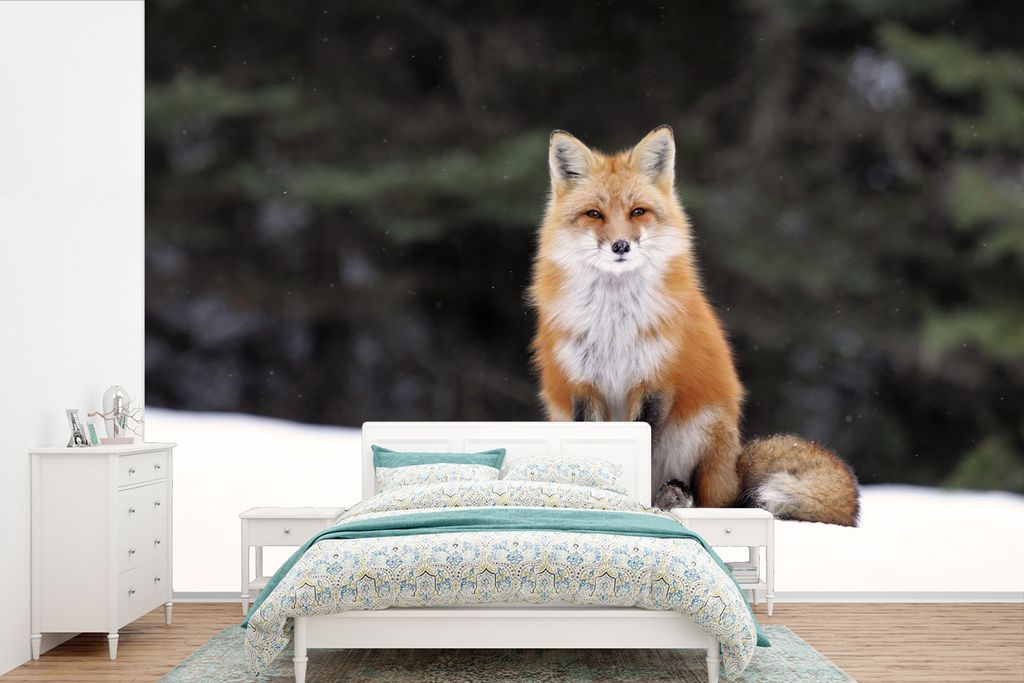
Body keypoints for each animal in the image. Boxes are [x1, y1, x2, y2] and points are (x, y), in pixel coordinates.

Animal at [528, 125, 860, 526]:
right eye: (594, 214)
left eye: (638, 212)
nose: (621, 246)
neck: (615, 325)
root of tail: (734, 468)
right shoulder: (582, 384)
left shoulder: (655, 381)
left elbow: (644, 445)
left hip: (704, 430)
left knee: (712, 501)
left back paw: (677, 498)